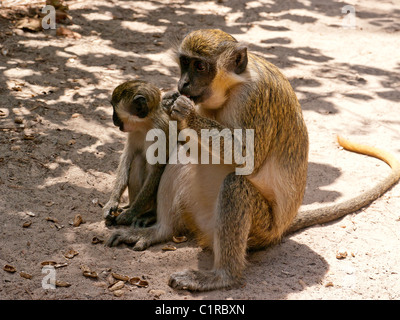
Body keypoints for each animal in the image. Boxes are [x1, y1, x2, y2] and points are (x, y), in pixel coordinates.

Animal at [103, 80, 169, 228]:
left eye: (115, 109)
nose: (113, 119)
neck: (145, 125)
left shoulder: (160, 131)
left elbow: (156, 170)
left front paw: (130, 214)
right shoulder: (133, 132)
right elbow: (127, 158)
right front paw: (112, 202)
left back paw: (148, 214)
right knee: (138, 159)